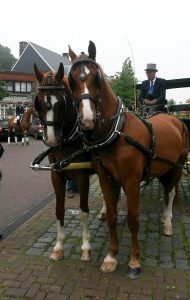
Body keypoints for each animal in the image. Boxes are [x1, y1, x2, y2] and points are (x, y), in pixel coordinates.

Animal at [33, 63, 96, 262]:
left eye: (61, 102)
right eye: (38, 102)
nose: (52, 139)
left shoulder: (82, 176)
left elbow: (83, 211)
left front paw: (85, 247)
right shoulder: (56, 175)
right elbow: (59, 210)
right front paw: (58, 247)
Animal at [67, 40, 189, 278]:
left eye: (97, 78)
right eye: (71, 79)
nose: (87, 121)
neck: (117, 132)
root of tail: (175, 118)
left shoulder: (131, 182)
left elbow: (133, 219)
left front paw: (134, 261)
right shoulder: (106, 180)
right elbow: (112, 217)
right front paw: (111, 257)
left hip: (178, 166)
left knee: (170, 193)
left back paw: (168, 223)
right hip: (163, 168)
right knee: (165, 190)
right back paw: (163, 217)